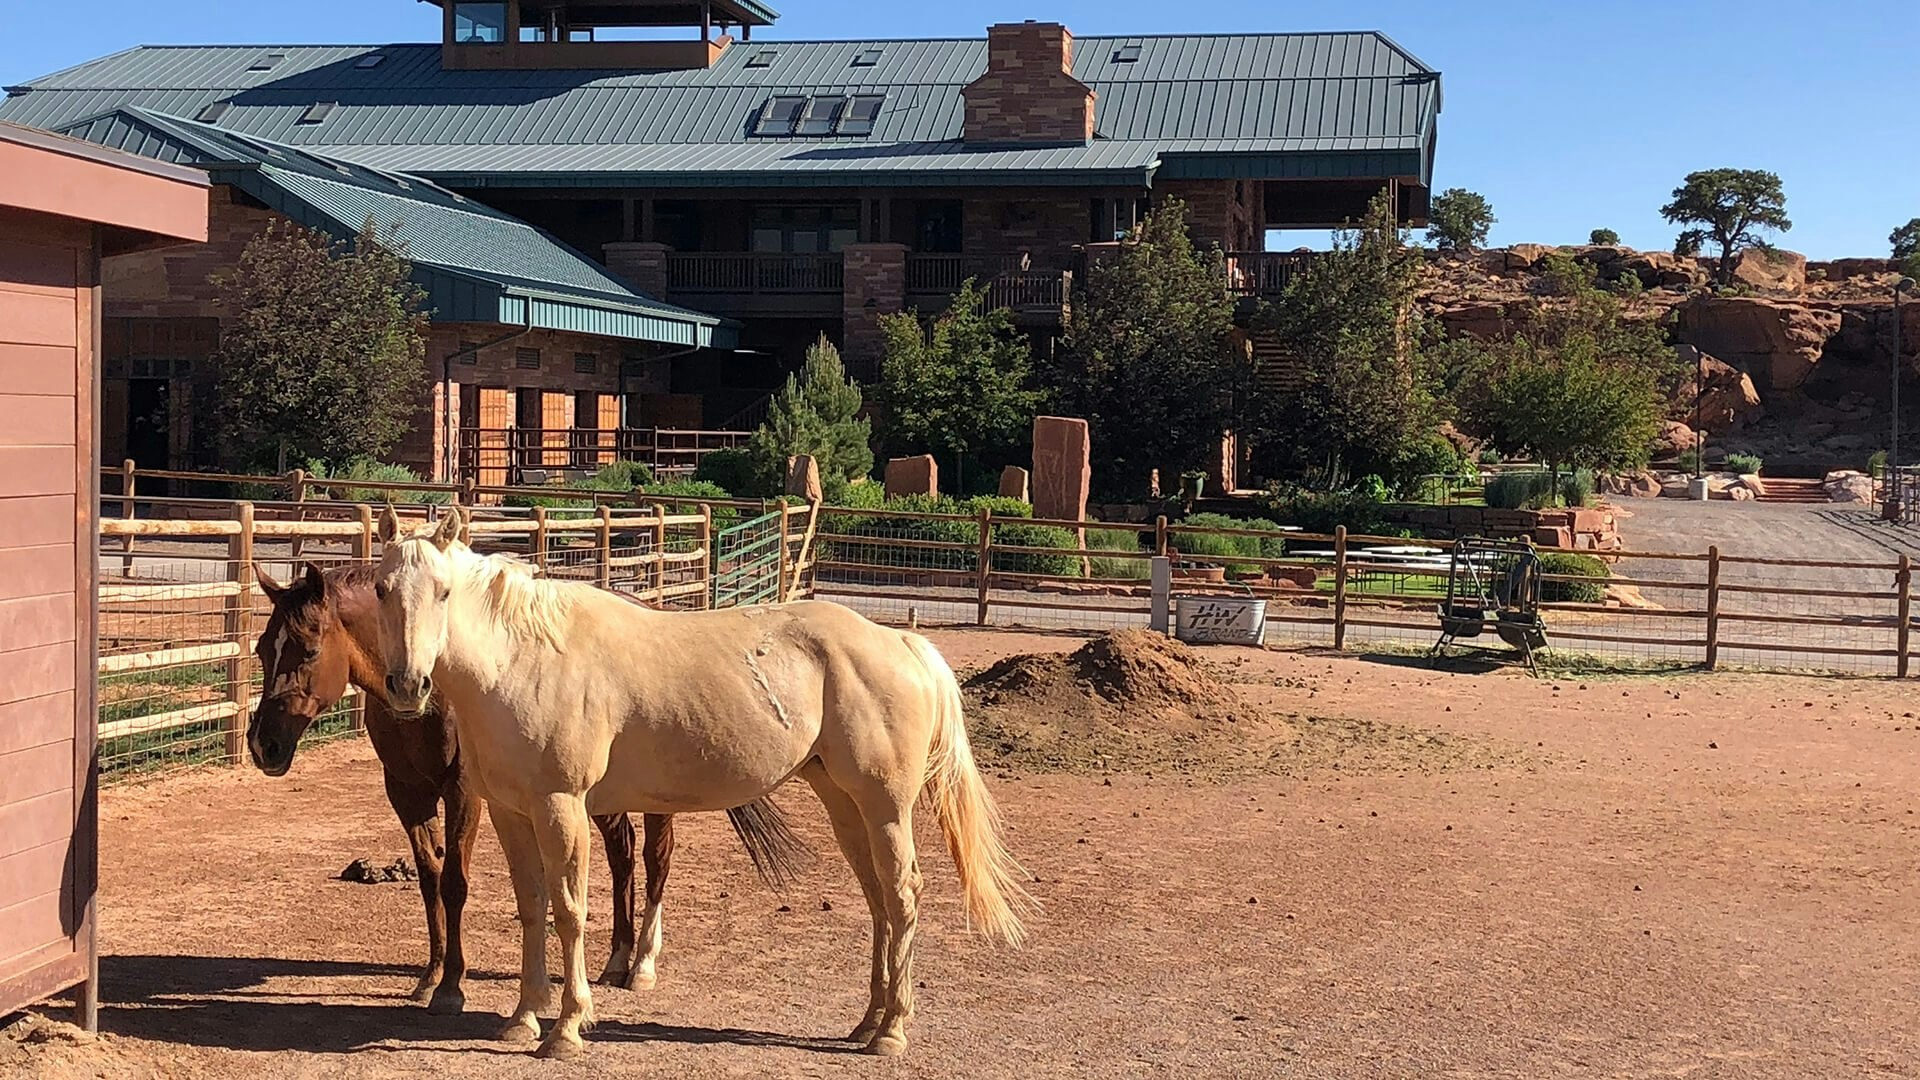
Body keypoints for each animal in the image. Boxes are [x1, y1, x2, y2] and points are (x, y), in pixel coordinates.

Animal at [246, 559, 808, 1013]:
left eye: (308, 649)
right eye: (262, 649)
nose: (263, 744)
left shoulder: (465, 793)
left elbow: (455, 883)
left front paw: (451, 986)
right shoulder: (405, 793)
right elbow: (429, 879)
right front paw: (429, 975)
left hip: (654, 795)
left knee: (655, 859)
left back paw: (642, 965)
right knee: (622, 854)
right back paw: (617, 958)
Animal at [371, 508, 1031, 1059]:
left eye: (445, 591)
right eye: (381, 588)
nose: (407, 686)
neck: (523, 660)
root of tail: (902, 641)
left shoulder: (562, 808)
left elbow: (569, 911)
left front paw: (567, 1028)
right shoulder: (512, 812)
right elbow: (532, 908)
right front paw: (523, 1019)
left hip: (886, 806)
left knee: (903, 895)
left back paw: (892, 1030)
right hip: (845, 805)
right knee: (878, 900)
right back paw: (867, 1022)